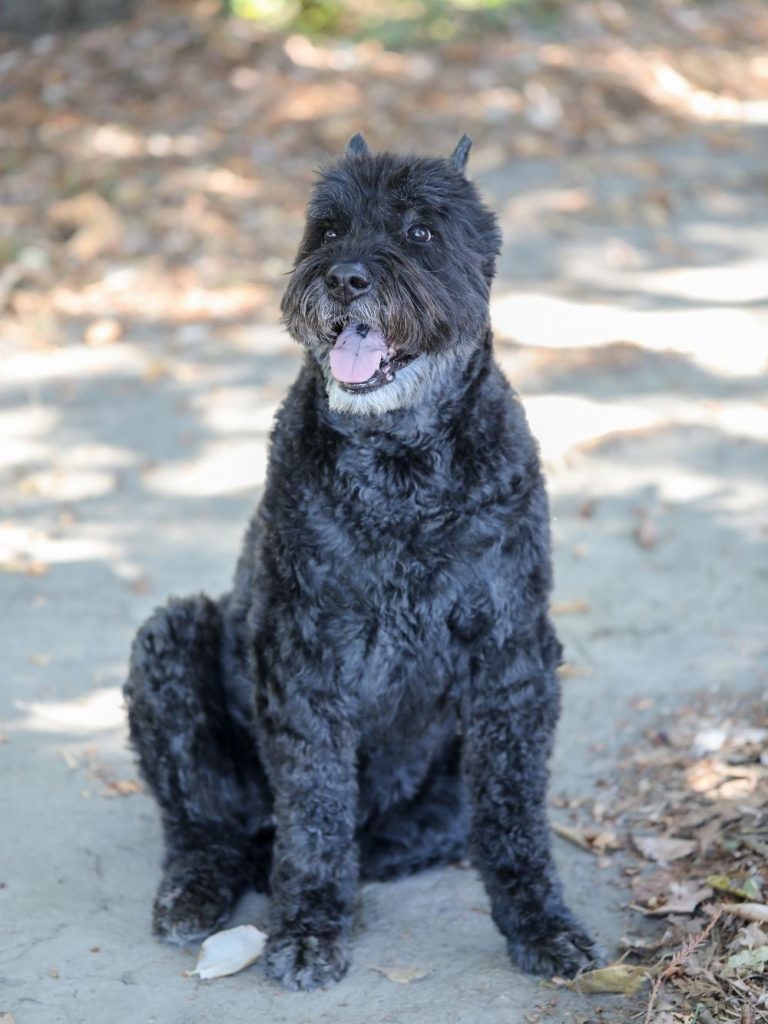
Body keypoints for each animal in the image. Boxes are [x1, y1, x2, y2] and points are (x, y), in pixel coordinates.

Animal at [124, 134, 602, 991]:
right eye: (329, 229)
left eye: (419, 231)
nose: (346, 277)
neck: (402, 465)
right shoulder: (305, 656)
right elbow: (314, 806)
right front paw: (309, 928)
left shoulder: (512, 659)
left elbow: (513, 815)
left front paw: (540, 923)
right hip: (170, 642)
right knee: (205, 822)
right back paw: (200, 886)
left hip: (445, 781)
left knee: (403, 833)